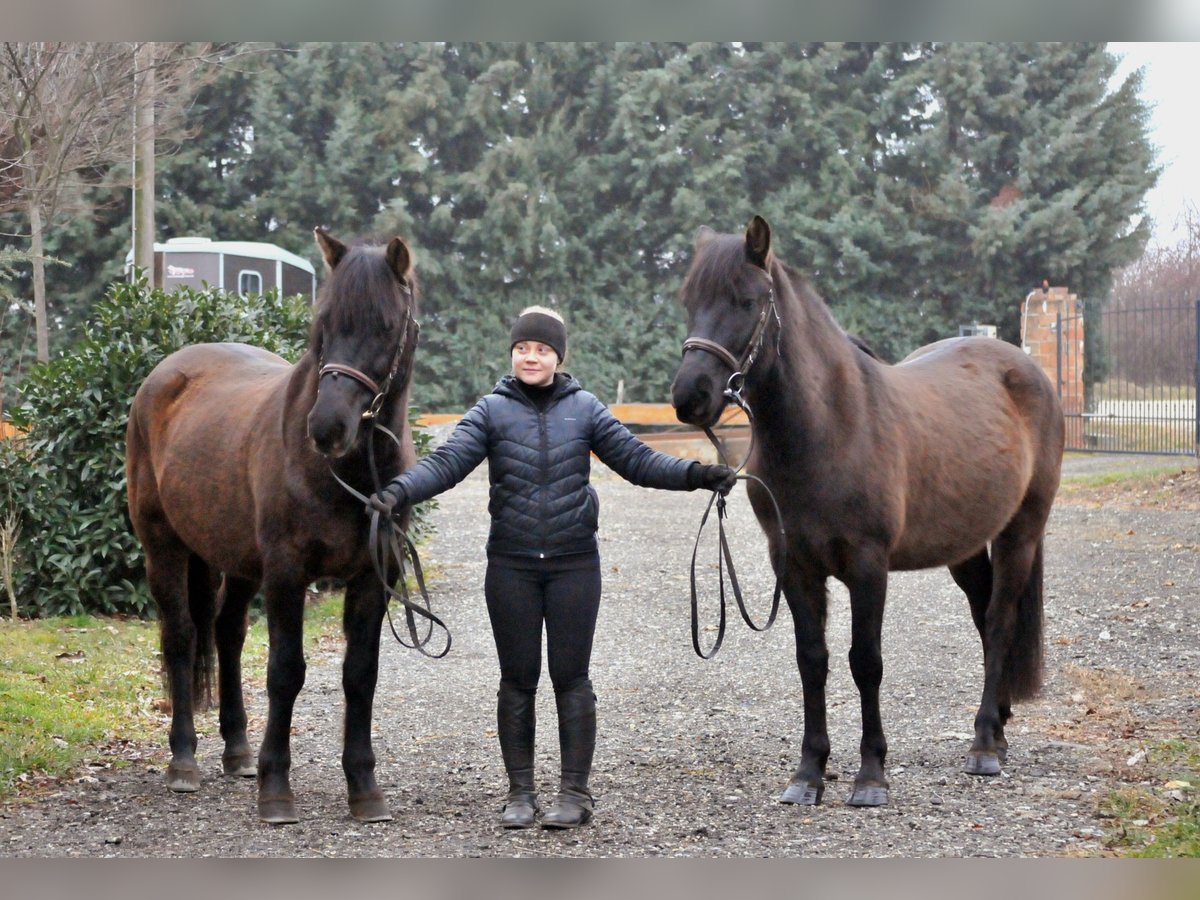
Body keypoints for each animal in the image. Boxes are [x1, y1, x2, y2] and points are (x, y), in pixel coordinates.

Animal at [126, 230, 422, 825]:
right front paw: (277, 789)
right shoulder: (287, 572)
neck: (350, 474)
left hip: (237, 561)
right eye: (324, 323)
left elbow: (361, 674)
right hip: (163, 546)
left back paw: (237, 752)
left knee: (227, 633)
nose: (327, 427)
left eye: (385, 326)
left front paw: (364, 788)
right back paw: (184, 761)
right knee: (180, 636)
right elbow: (286, 671)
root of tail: (164, 375)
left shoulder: (371, 577)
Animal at [672, 217, 1065, 811]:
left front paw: (871, 775)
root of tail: (1028, 370)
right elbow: (812, 660)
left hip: (1020, 531)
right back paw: (997, 726)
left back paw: (982, 746)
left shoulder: (867, 565)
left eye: (747, 301)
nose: (689, 397)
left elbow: (866, 662)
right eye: (689, 301)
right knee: (983, 616)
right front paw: (808, 773)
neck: (832, 426)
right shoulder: (794, 566)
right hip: (965, 546)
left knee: (999, 622)